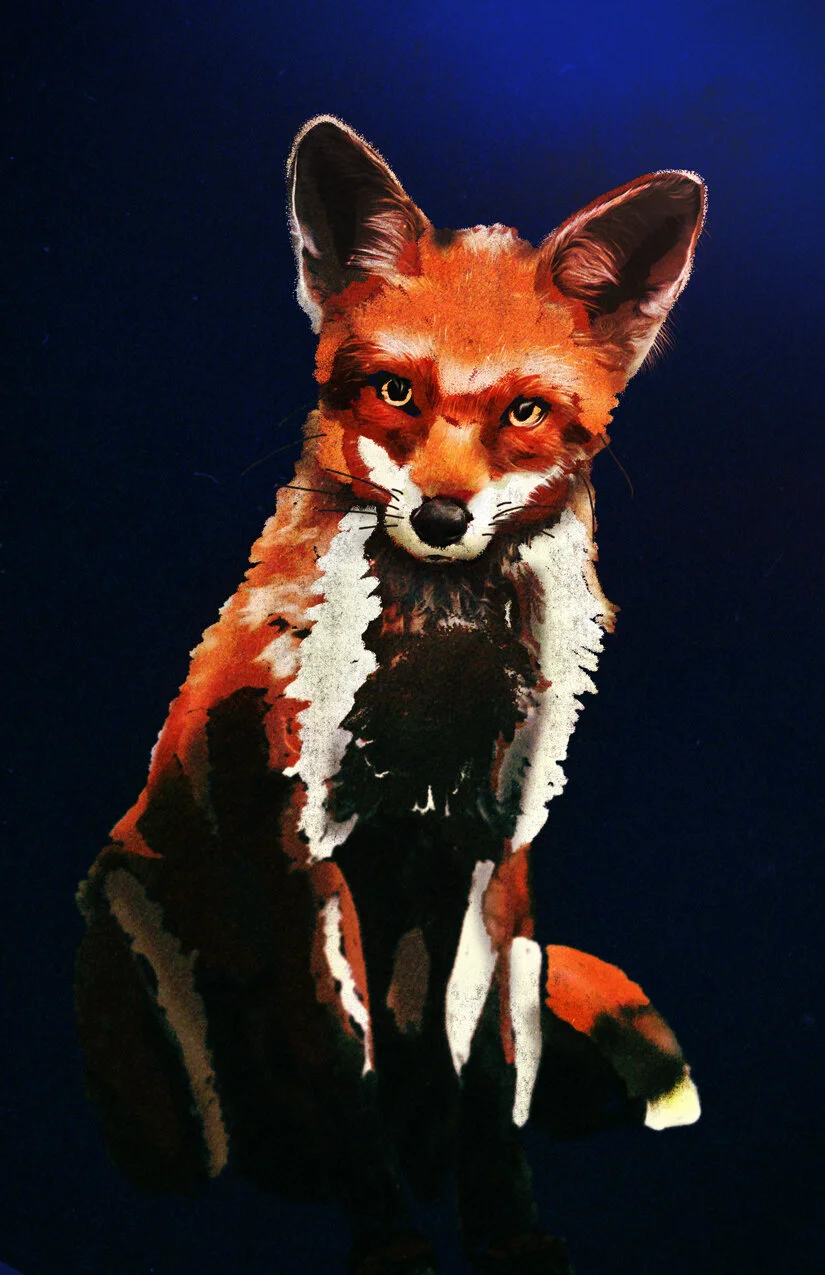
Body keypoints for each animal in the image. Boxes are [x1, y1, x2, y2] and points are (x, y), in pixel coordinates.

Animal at [75, 117, 706, 1275]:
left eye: (524, 411)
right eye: (396, 392)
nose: (444, 516)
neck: (433, 692)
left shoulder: (494, 858)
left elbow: (488, 1080)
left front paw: (505, 1230)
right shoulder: (307, 854)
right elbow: (345, 1070)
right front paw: (392, 1242)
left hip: (529, 947)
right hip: (136, 948)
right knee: (208, 1154)